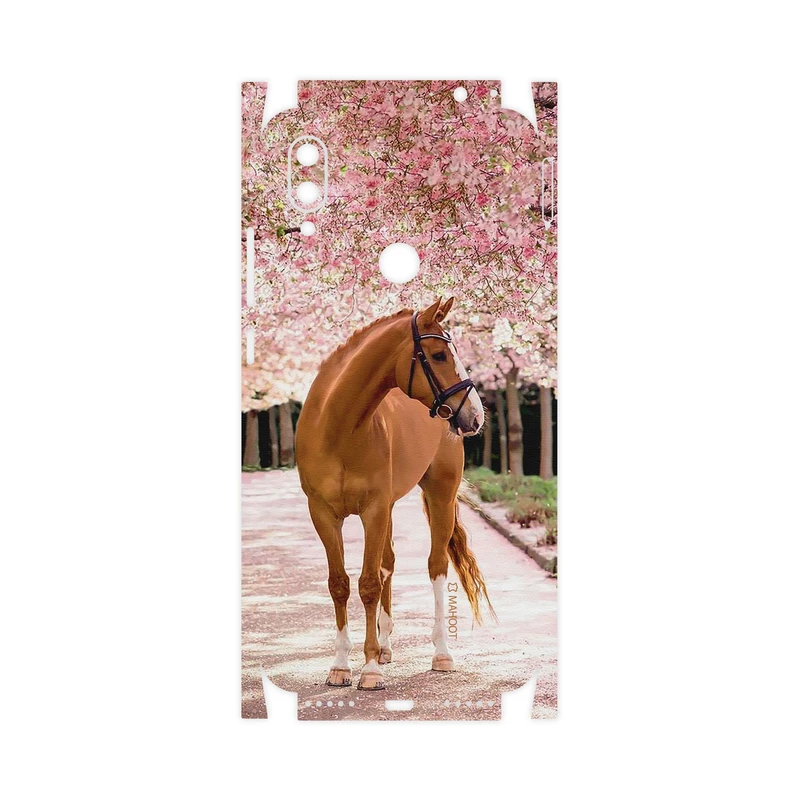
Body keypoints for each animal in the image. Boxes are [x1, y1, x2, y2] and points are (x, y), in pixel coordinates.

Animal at [295, 297, 494, 690]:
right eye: (438, 355)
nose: (476, 416)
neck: (338, 428)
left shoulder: (372, 510)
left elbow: (369, 584)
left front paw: (369, 669)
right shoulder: (324, 514)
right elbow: (340, 584)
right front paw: (341, 666)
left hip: (439, 494)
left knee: (435, 566)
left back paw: (441, 653)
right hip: (388, 508)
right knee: (388, 563)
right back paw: (385, 647)